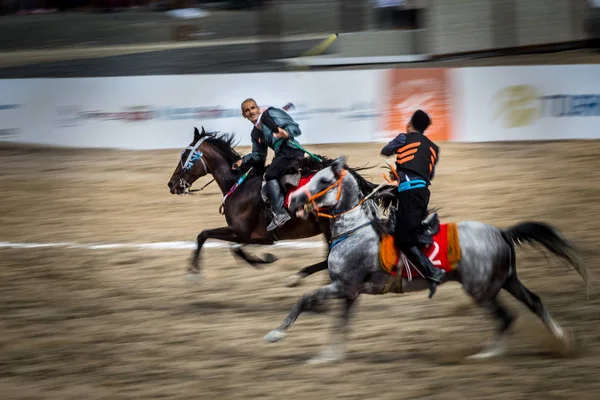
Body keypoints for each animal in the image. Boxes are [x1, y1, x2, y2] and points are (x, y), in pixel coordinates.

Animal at [166, 127, 378, 282]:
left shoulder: (246, 233)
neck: (239, 184)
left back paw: (299, 277)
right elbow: (232, 247)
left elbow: (206, 235)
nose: (171, 184)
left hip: (329, 227)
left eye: (184, 156)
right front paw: (263, 260)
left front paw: (193, 272)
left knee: (329, 259)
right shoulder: (251, 236)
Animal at [264, 156, 592, 366]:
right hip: (506, 280)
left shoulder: (343, 286)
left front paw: (275, 334)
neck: (355, 228)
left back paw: (487, 355)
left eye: (323, 180)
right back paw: (562, 339)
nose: (293, 201)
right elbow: (340, 325)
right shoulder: (350, 292)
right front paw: (328, 356)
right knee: (533, 302)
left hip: (481, 289)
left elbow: (304, 301)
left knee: (505, 317)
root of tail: (501, 232)